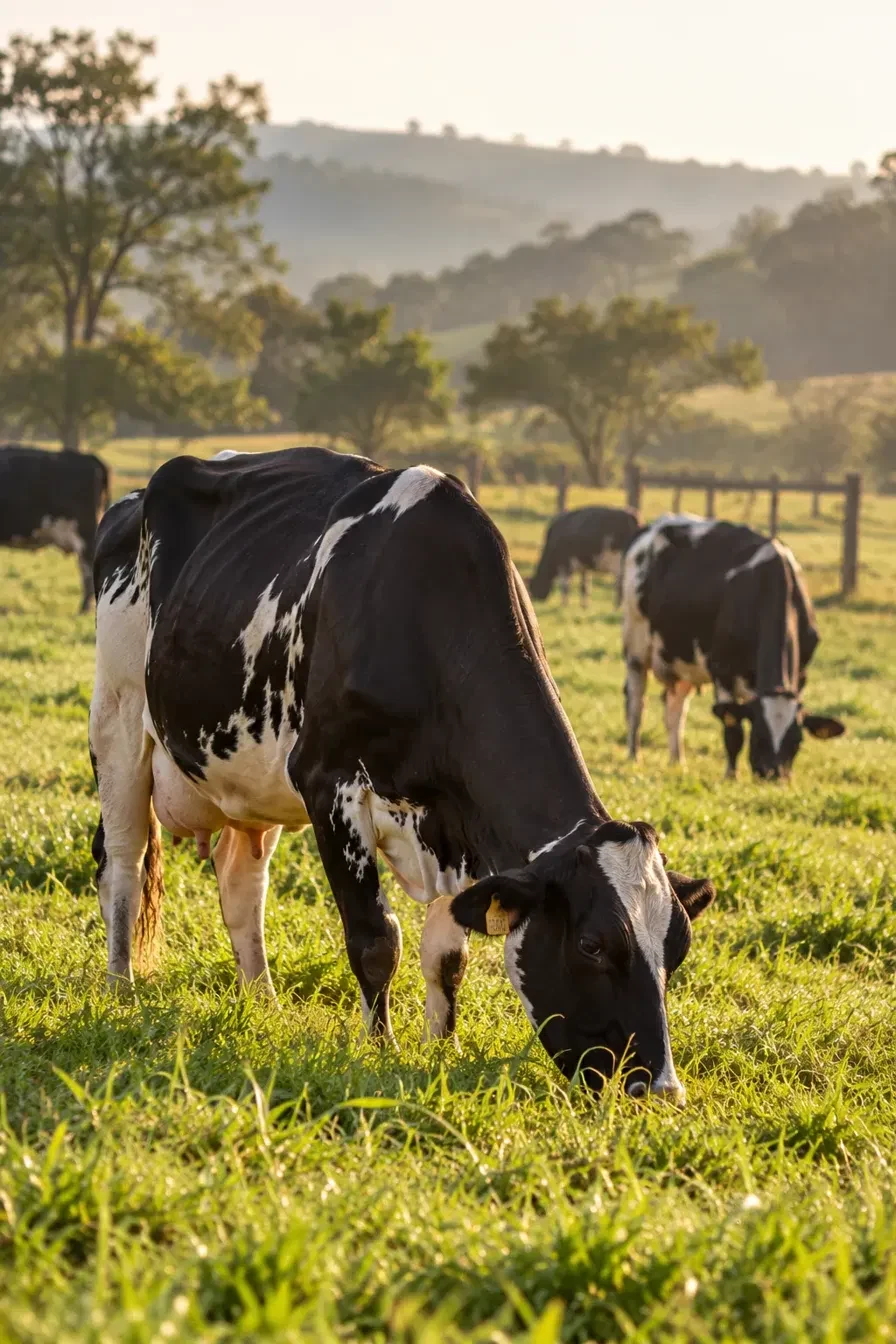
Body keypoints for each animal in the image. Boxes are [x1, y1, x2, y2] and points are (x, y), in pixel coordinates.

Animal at [90, 448, 716, 1103]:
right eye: (593, 945)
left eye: (676, 951)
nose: (662, 1089)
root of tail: (131, 499)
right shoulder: (327, 782)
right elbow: (375, 938)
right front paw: (380, 1049)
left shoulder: (457, 824)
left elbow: (447, 957)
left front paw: (442, 1049)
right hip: (118, 718)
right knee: (124, 864)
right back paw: (121, 990)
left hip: (249, 777)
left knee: (240, 882)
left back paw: (263, 1005)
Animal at [621, 514, 845, 779]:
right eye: (759, 735)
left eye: (797, 741)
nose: (773, 775)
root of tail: (656, 524)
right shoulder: (722, 670)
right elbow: (733, 731)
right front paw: (731, 775)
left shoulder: (801, 674)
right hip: (636, 645)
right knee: (636, 702)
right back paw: (634, 755)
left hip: (682, 657)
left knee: (675, 709)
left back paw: (678, 762)